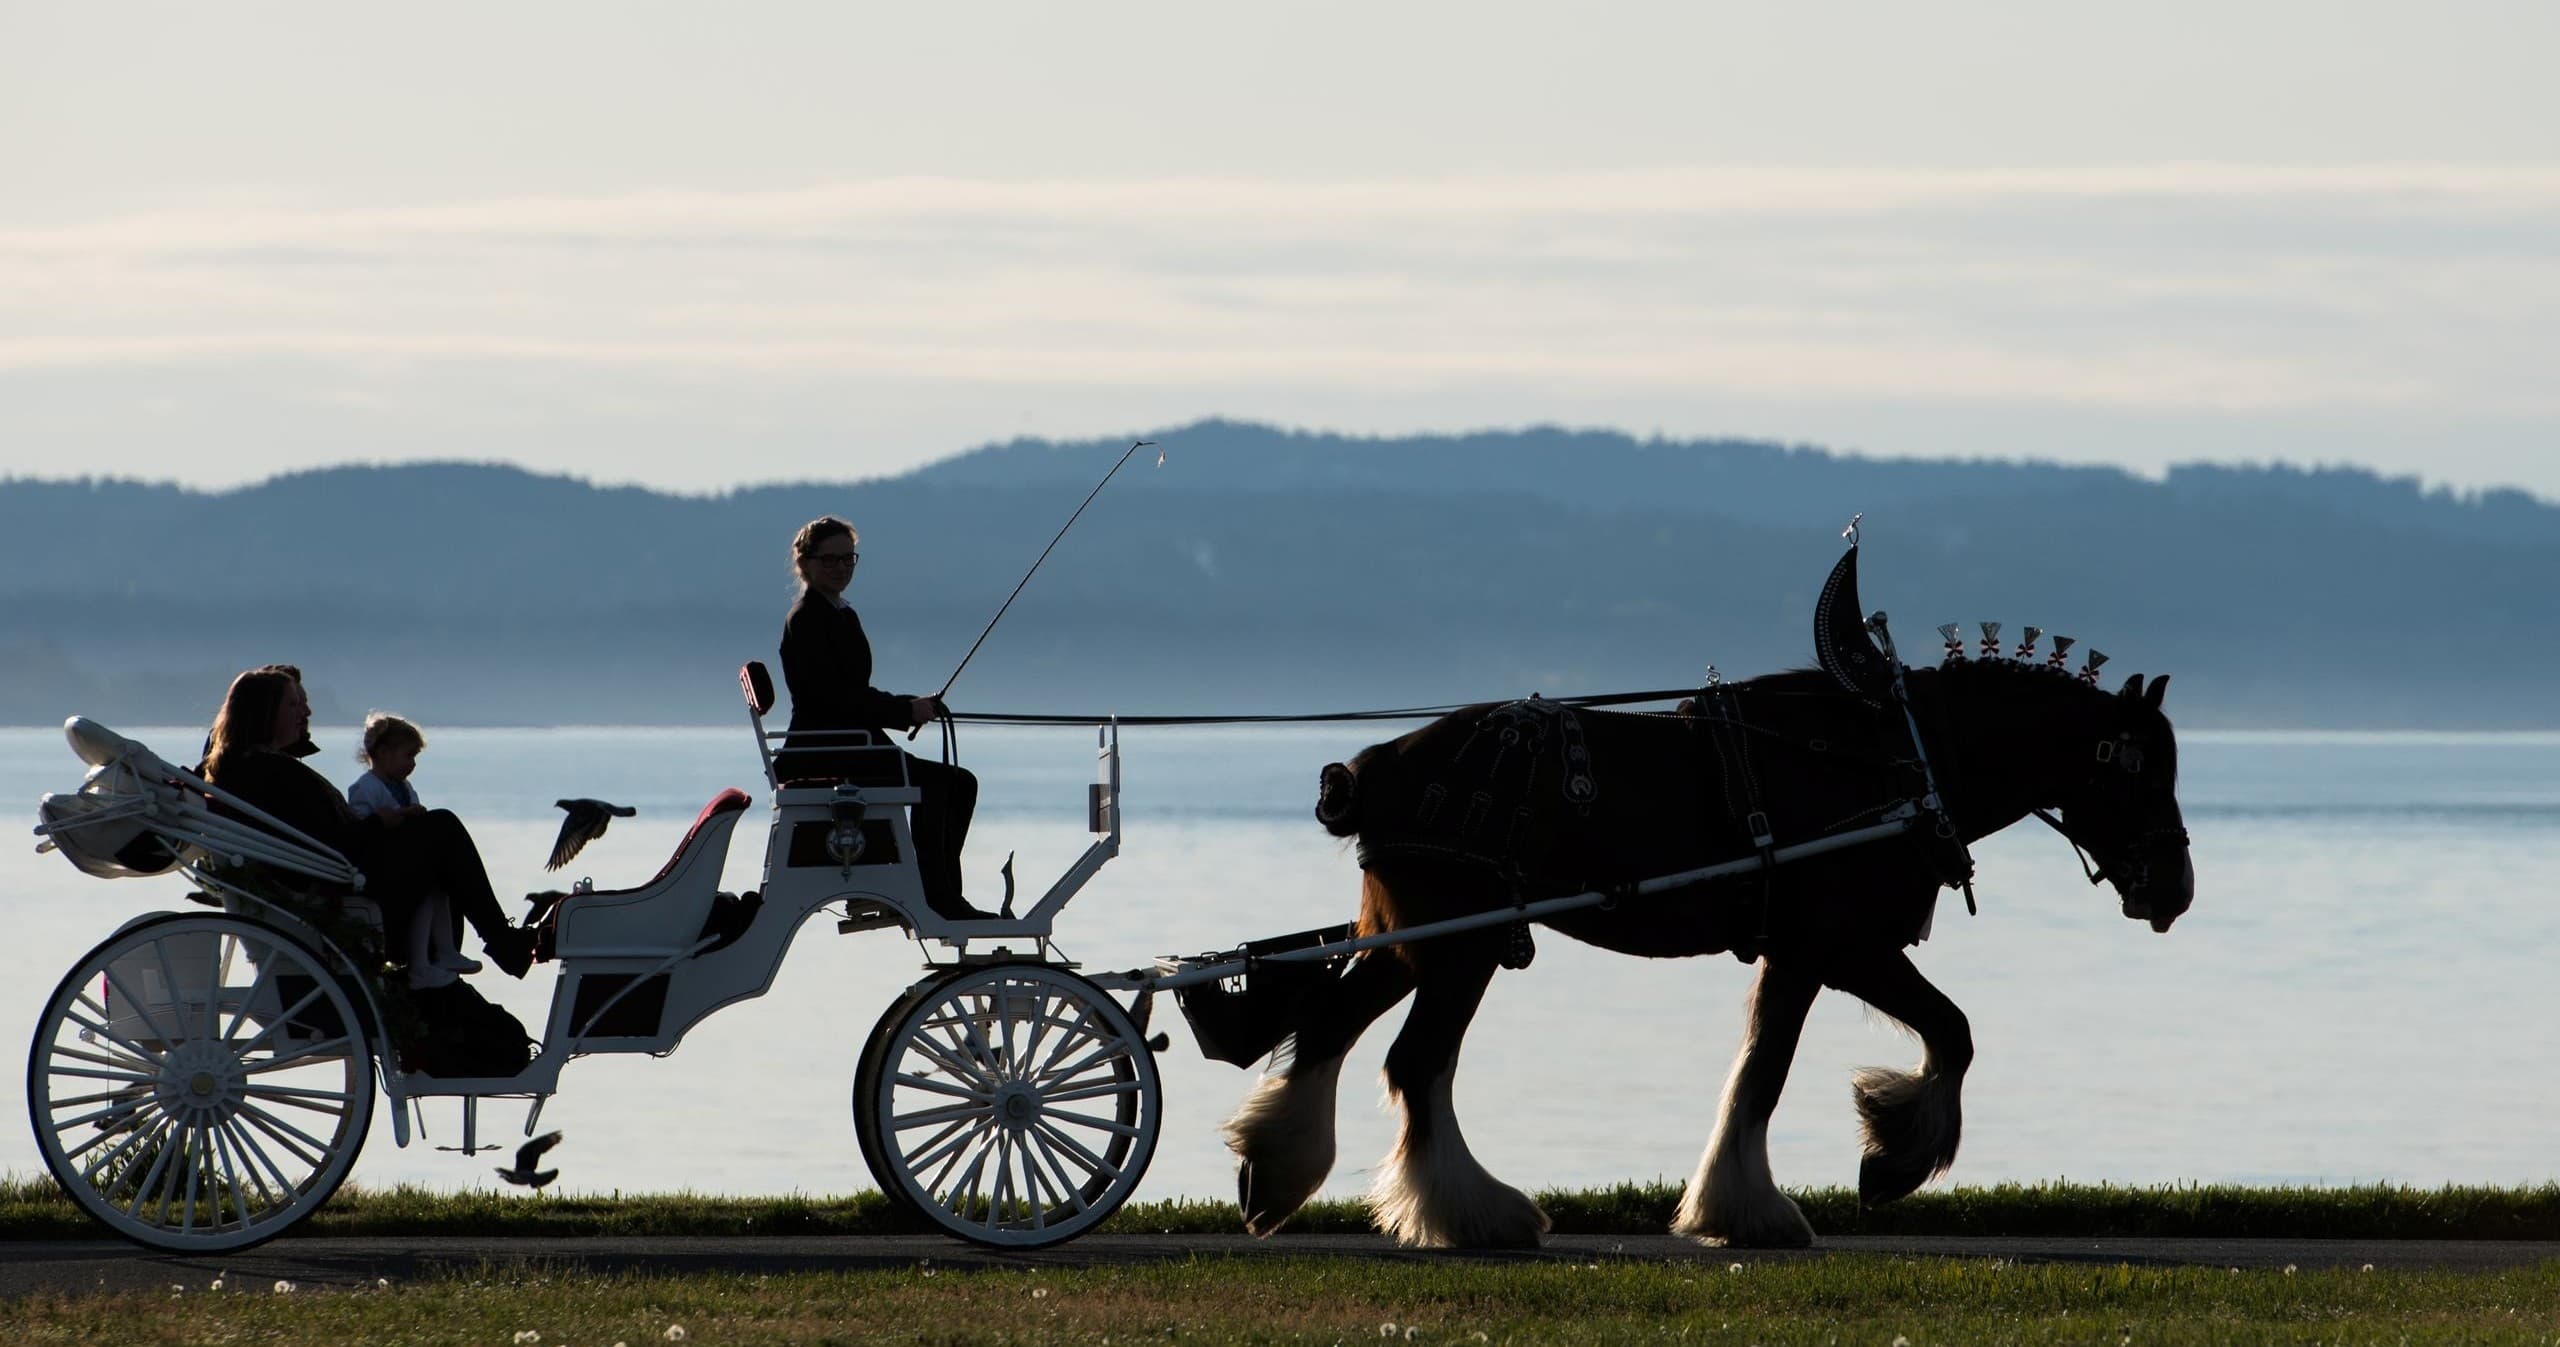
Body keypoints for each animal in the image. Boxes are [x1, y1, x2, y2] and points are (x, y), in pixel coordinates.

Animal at [1217, 553, 2194, 1250]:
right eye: (2142, 773)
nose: (2175, 889)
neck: (1898, 757)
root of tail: (1370, 767)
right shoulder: (1835, 947)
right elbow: (1892, 1044)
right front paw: (1864, 1167)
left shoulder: (1810, 953)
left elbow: (1779, 1061)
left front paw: (1784, 1186)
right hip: (1463, 946)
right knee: (1416, 1062)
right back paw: (1475, 1214)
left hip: (1409, 935)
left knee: (1333, 1027)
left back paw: (1277, 1172)